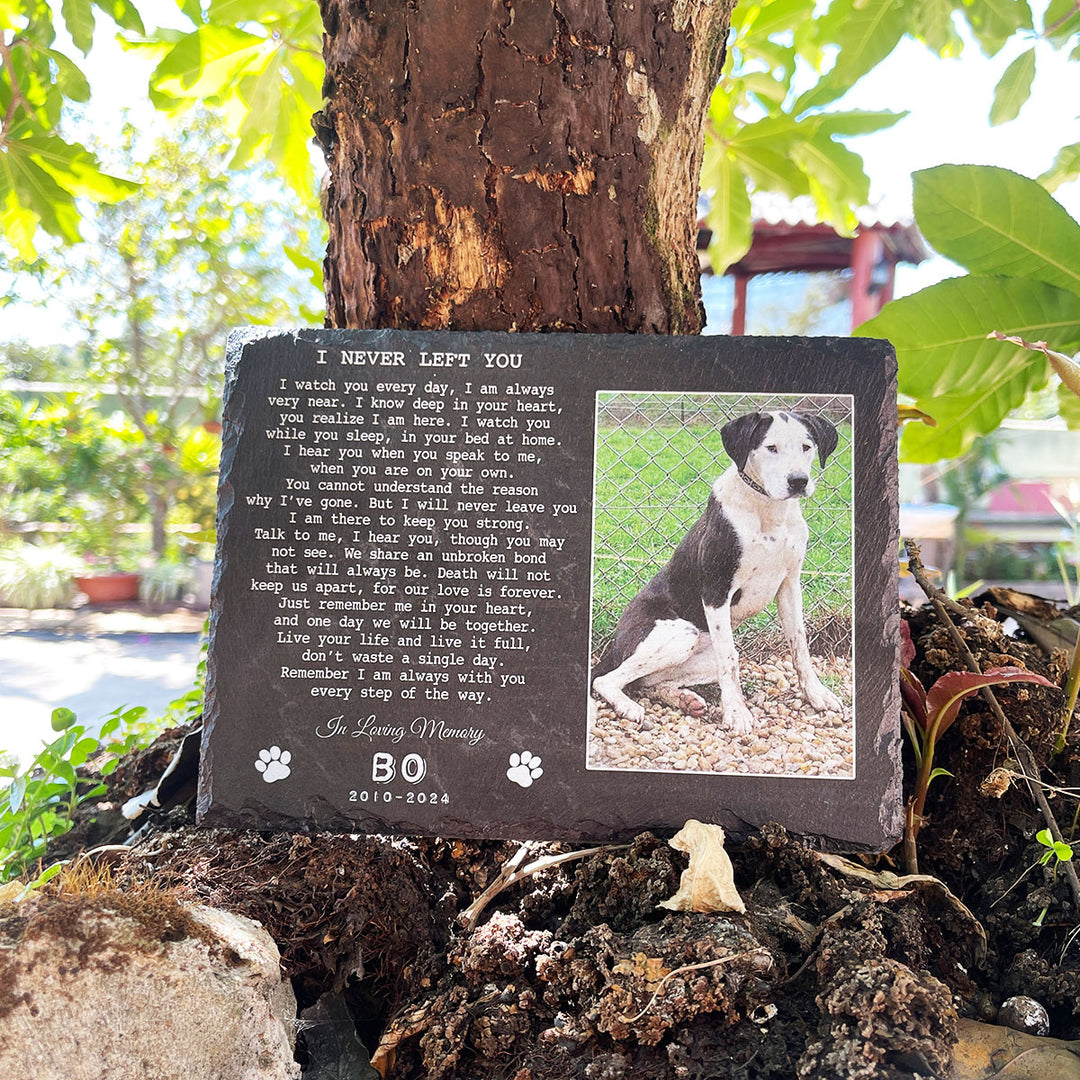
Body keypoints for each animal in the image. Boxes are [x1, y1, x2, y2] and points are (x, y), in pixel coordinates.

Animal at [591, 408, 842, 738]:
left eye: (806, 446)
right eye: (771, 448)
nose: (799, 481)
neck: (767, 510)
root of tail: (617, 642)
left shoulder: (789, 585)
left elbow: (799, 645)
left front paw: (816, 695)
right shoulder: (716, 591)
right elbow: (730, 660)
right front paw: (736, 713)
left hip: (697, 654)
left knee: (647, 682)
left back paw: (683, 700)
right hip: (679, 634)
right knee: (606, 679)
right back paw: (629, 706)